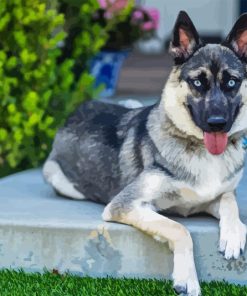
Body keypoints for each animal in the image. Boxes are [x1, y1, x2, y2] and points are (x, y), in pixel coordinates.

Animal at [43, 11, 247, 296]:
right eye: (197, 82)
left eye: (231, 82)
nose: (217, 123)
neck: (198, 147)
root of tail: (79, 109)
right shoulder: (126, 205)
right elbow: (179, 228)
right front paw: (187, 279)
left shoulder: (214, 197)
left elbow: (230, 202)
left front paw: (234, 234)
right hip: (57, 176)